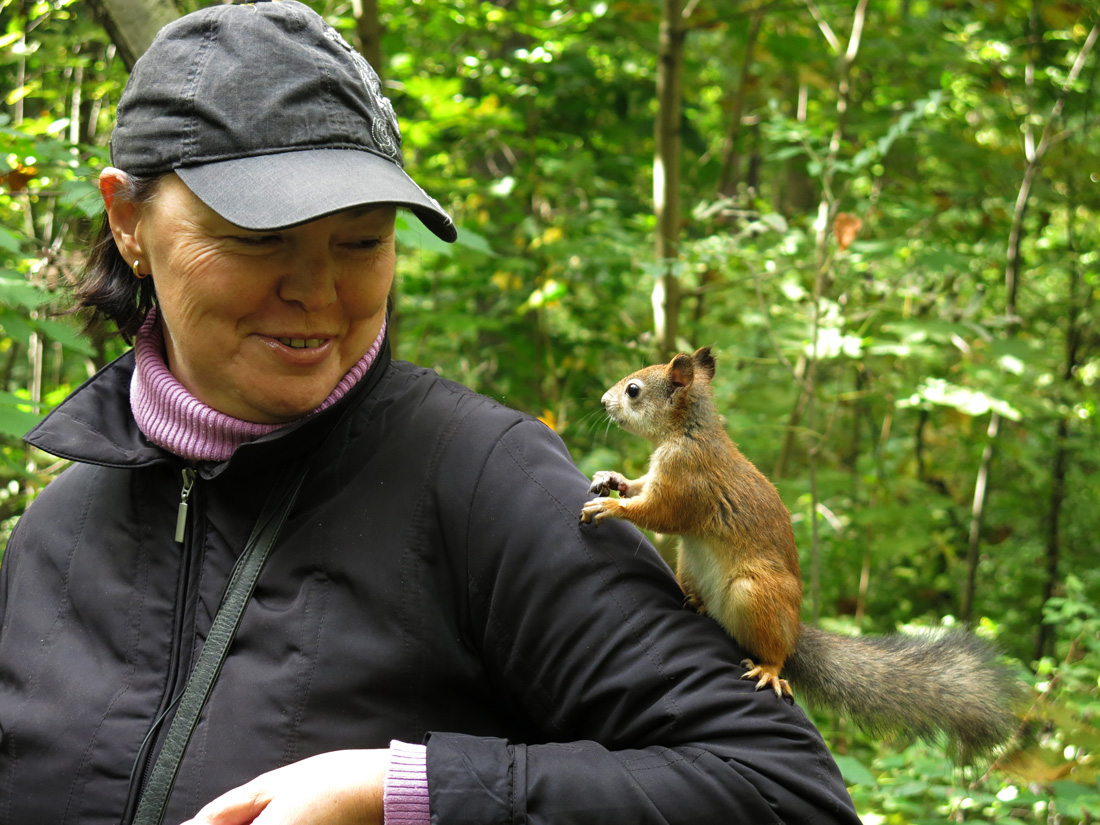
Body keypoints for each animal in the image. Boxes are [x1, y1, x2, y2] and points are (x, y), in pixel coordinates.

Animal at [580, 345, 1025, 761]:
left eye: (633, 390)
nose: (602, 400)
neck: (685, 432)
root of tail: (793, 631)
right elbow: (641, 487)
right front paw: (613, 478)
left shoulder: (689, 480)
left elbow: (660, 512)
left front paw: (612, 507)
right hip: (689, 566)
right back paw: (698, 602)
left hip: (754, 592)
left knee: (774, 651)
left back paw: (769, 670)